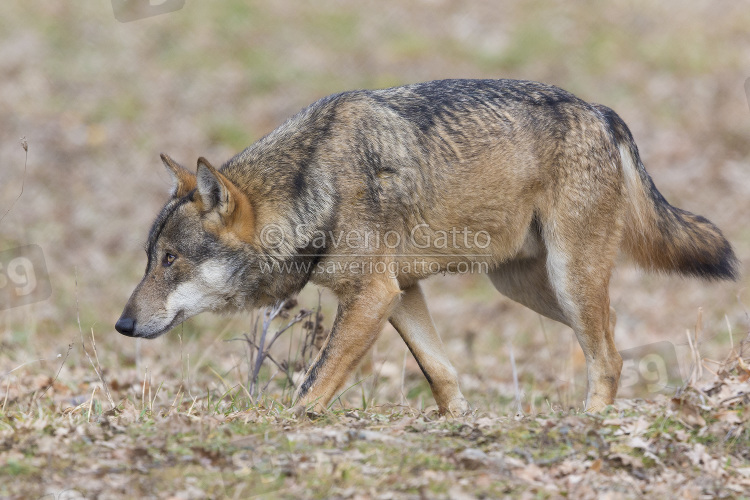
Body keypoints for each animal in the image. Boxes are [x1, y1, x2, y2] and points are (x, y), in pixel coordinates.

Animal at [116, 79, 740, 414]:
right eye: (150, 259)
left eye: (171, 260)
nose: (122, 325)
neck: (312, 184)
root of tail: (602, 112)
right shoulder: (400, 292)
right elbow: (441, 371)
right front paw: (459, 424)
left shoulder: (372, 294)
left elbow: (312, 386)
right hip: (524, 286)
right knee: (614, 338)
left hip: (567, 278)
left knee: (606, 354)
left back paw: (592, 421)